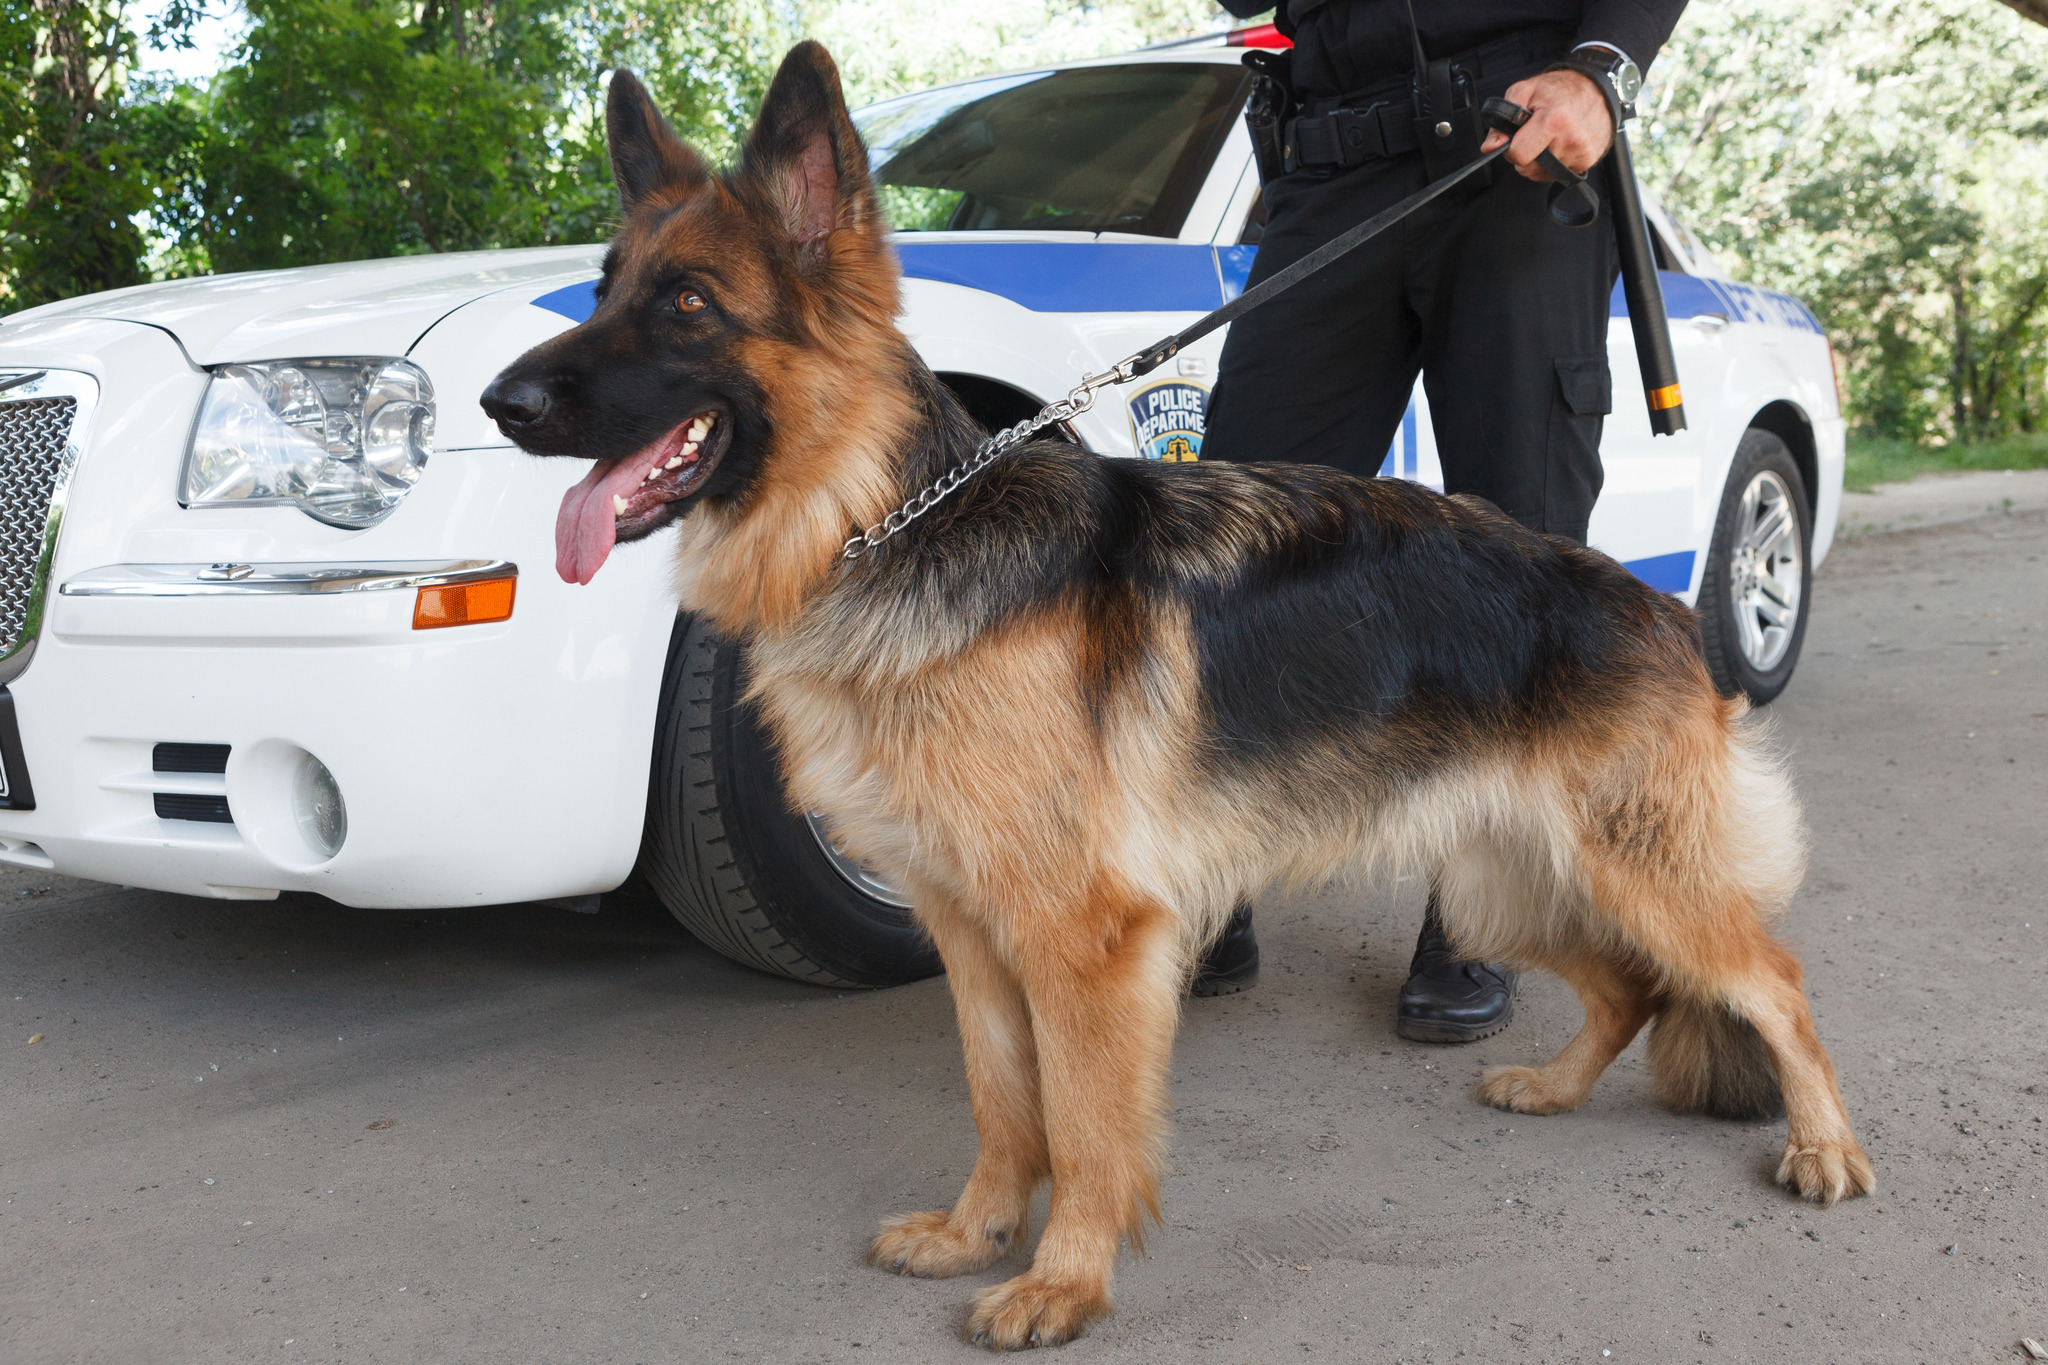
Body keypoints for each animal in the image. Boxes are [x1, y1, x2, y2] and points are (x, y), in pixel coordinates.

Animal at [479, 45, 1875, 1358]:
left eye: (688, 306)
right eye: (601, 290)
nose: (499, 402)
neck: (891, 525)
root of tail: (1656, 608)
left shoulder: (1083, 942)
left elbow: (1087, 1127)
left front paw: (1062, 1281)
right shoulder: (972, 930)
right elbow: (1003, 1102)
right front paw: (978, 1232)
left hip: (1629, 870)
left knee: (1774, 981)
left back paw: (1823, 1146)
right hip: (1505, 876)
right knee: (1631, 989)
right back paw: (1556, 1086)